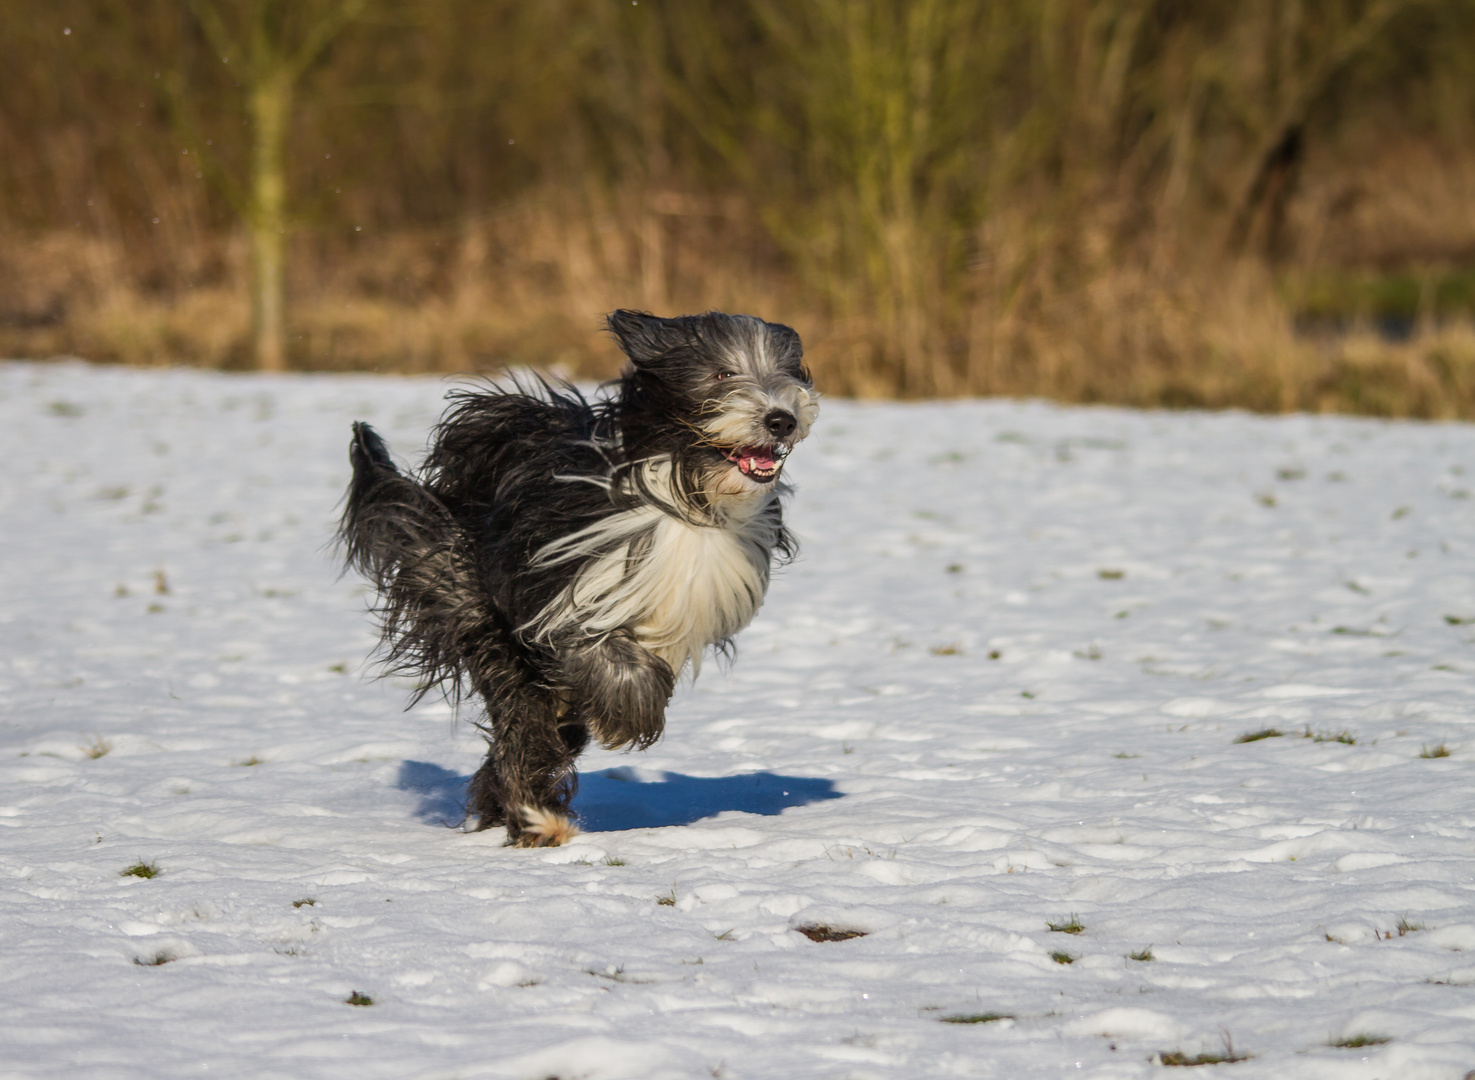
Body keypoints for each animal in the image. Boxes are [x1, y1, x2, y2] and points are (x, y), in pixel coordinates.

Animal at [337, 308, 820, 849]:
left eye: (789, 372)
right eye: (722, 373)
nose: (781, 419)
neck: (684, 487)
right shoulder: (558, 597)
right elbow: (604, 657)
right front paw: (630, 715)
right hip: (477, 607)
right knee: (524, 717)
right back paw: (535, 816)